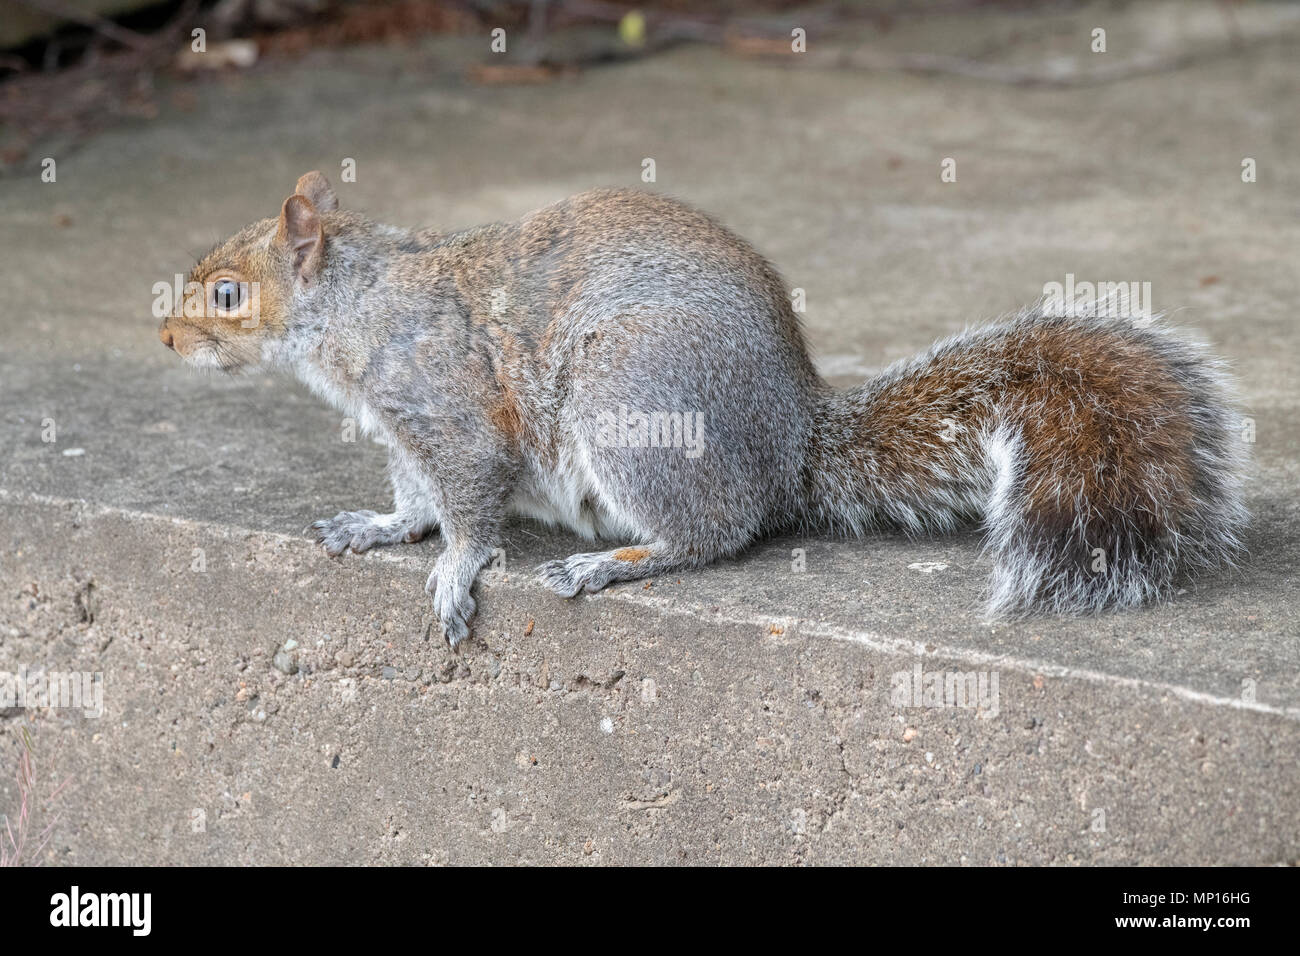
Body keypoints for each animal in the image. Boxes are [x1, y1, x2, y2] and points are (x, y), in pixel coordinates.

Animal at [159, 171, 1248, 646]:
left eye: (228, 294)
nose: (164, 340)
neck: (355, 307)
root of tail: (794, 442)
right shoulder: (401, 429)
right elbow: (415, 495)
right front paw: (382, 525)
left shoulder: (445, 400)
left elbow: (469, 498)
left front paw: (455, 575)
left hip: (628, 399)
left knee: (717, 532)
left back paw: (615, 559)